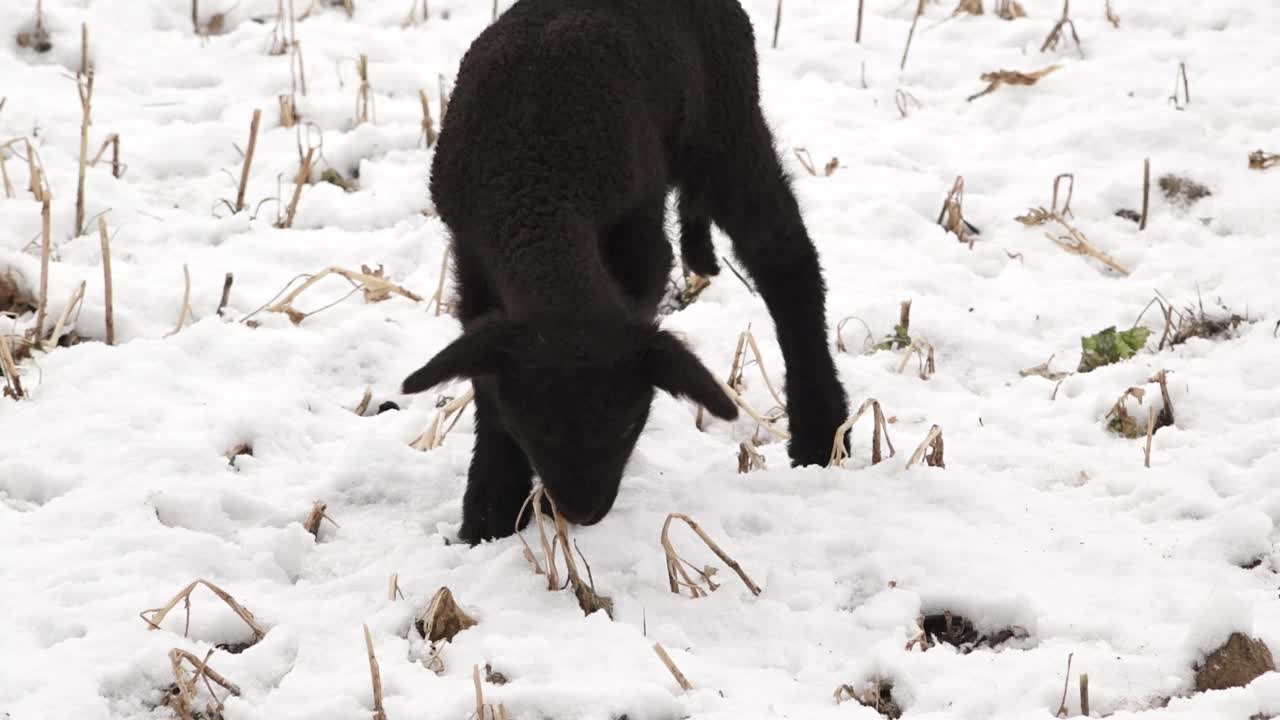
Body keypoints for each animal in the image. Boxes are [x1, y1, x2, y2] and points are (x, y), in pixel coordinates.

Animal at [401, 0, 849, 540]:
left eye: (630, 422)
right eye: (535, 427)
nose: (583, 512)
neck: (538, 186)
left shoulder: (639, 236)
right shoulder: (472, 255)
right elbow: (485, 377)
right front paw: (490, 514)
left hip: (727, 121)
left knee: (784, 259)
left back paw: (820, 432)